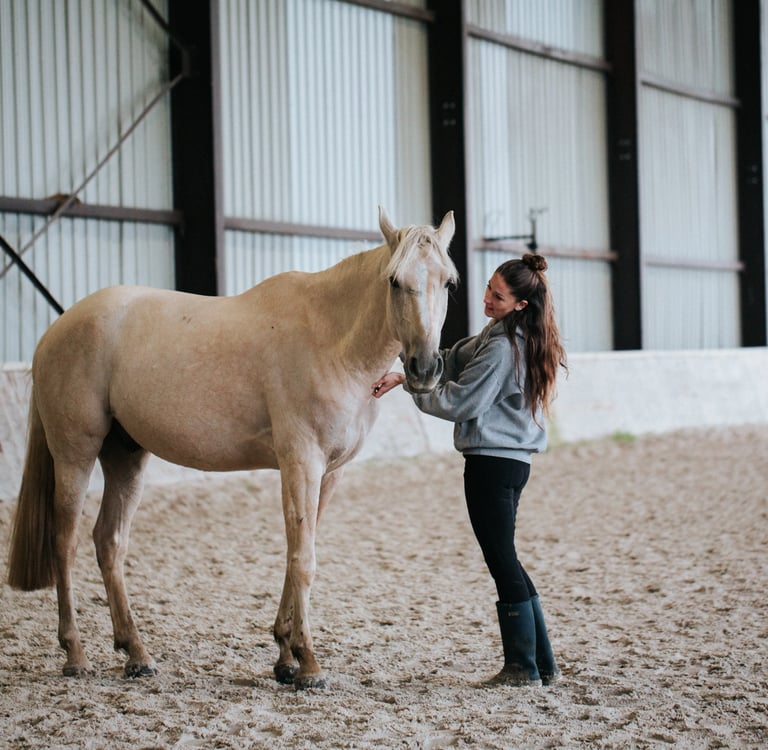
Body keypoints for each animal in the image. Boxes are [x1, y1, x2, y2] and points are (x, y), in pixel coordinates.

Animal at [6, 207, 457, 690]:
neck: (331, 336)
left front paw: (285, 656)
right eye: (394, 280)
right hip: (75, 454)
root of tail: (57, 329)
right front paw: (309, 664)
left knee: (109, 542)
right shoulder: (301, 463)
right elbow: (303, 559)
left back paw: (137, 654)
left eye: (449, 282)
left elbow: (296, 551)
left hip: (126, 457)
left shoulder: (330, 472)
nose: (425, 368)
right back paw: (75, 654)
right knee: (64, 542)